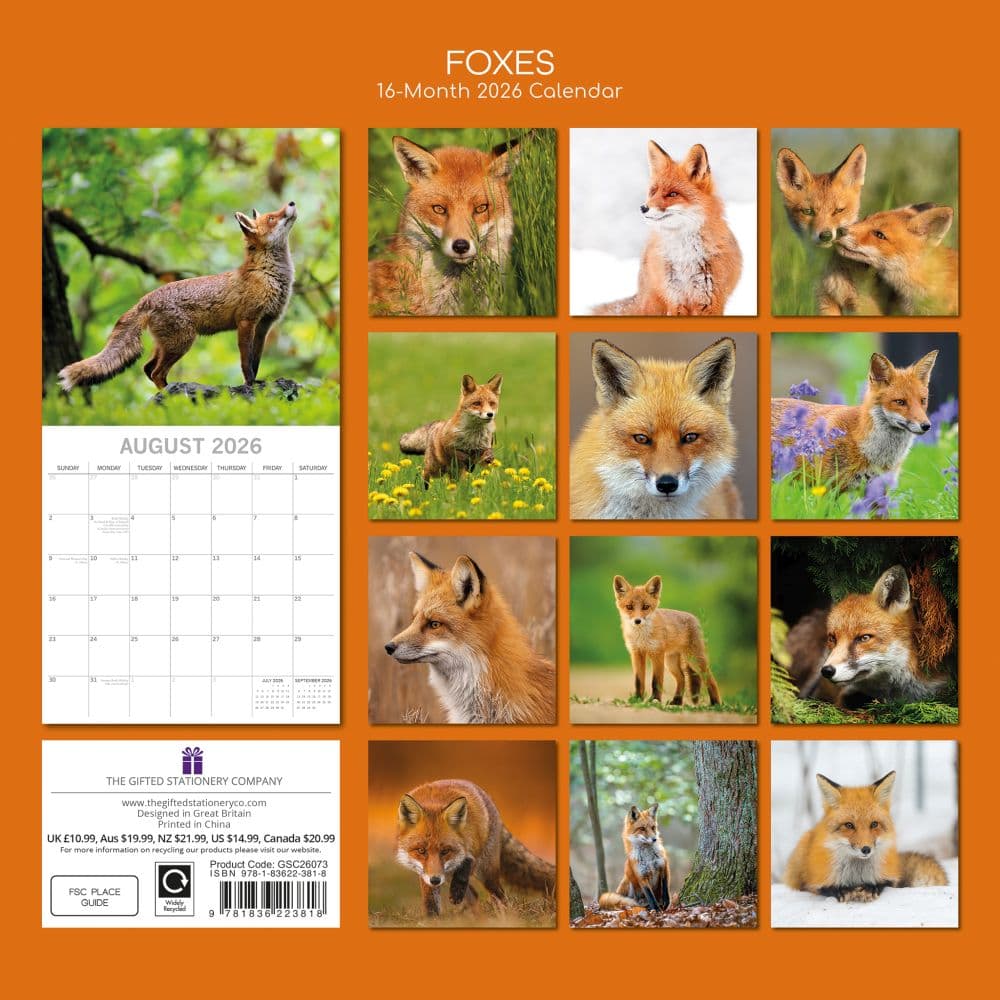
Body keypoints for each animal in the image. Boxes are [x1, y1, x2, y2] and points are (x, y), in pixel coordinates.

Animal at [58, 203, 297, 391]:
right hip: (182, 342)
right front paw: (249, 384)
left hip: (166, 345)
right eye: (272, 218)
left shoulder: (264, 325)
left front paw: (257, 383)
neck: (269, 275)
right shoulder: (246, 321)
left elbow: (256, 361)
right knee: (156, 372)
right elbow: (246, 362)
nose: (292, 203)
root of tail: (147, 298)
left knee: (147, 368)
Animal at [396, 778, 556, 917]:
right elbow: (430, 901)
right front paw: (432, 920)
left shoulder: (472, 851)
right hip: (449, 875)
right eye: (421, 850)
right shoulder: (425, 873)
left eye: (445, 851)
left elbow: (466, 865)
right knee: (474, 895)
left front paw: (457, 891)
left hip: (487, 874)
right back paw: (477, 918)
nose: (435, 880)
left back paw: (504, 916)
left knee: (499, 895)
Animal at [595, 142, 742, 316]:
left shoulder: (709, 300)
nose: (643, 208)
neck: (685, 256)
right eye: (653, 191)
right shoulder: (675, 298)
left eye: (672, 194)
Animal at [613, 575, 721, 705]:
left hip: (694, 660)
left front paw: (655, 700)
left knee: (711, 680)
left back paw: (716, 703)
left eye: (645, 607)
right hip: (671, 662)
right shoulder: (636, 653)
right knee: (682, 677)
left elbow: (656, 681)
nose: (637, 621)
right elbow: (638, 681)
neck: (641, 636)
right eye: (629, 607)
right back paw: (677, 701)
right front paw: (637, 699)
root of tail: (694, 617)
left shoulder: (657, 653)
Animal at [784, 771, 948, 902]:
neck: (857, 874)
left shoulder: (890, 877)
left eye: (874, 824)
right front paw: (843, 891)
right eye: (849, 825)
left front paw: (870, 888)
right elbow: (825, 888)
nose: (866, 849)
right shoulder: (814, 882)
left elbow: (883, 883)